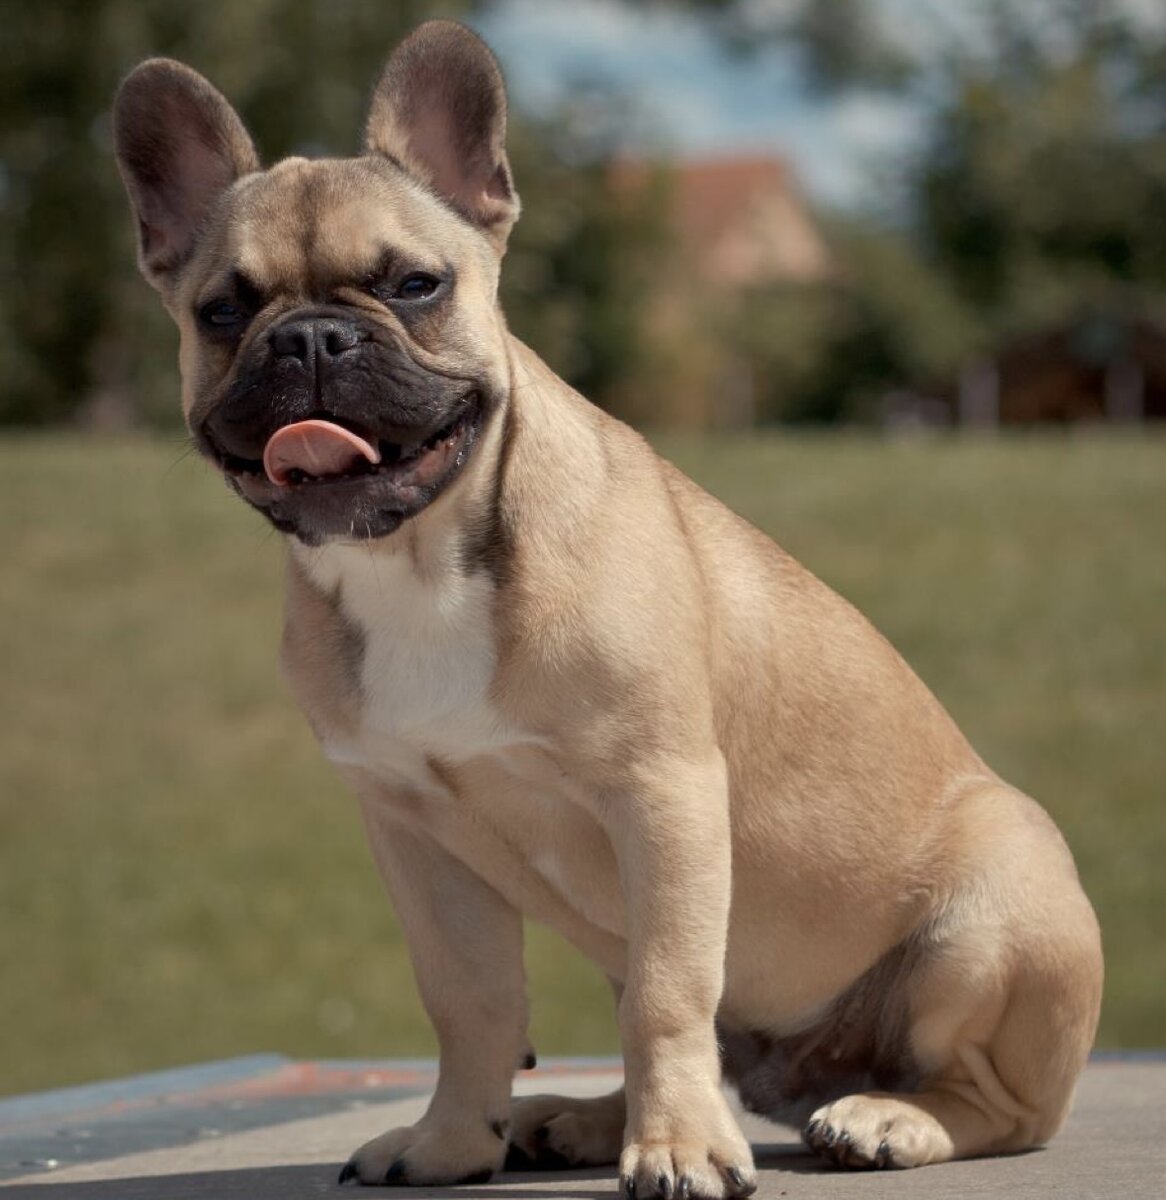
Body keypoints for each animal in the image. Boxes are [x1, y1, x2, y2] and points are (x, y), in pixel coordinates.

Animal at [116, 21, 1103, 1200]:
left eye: (415, 284)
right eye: (221, 312)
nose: (310, 339)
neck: (417, 560)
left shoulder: (661, 794)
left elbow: (669, 991)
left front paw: (677, 1152)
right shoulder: (414, 833)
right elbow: (470, 1002)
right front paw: (451, 1145)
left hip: (992, 919)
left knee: (1000, 1107)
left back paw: (883, 1118)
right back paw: (583, 1120)